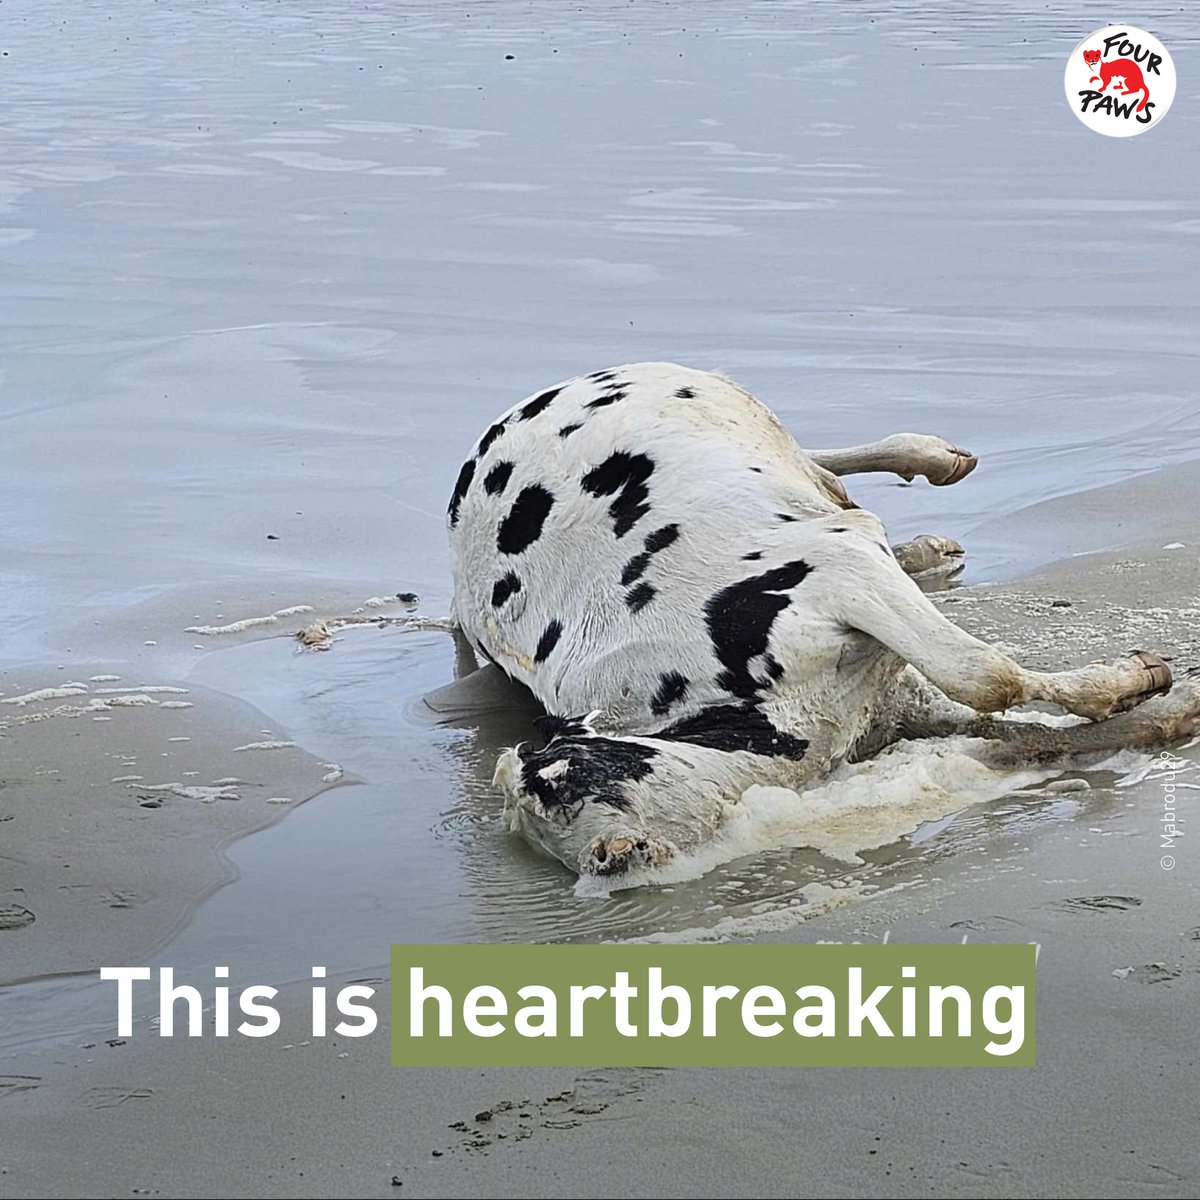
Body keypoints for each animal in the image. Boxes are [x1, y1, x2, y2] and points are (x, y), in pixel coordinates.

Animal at [445, 363, 1198, 877]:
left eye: (557, 788)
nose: (609, 857)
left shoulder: (842, 567)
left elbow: (984, 675)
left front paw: (1131, 679)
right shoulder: (893, 699)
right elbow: (1026, 729)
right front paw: (1158, 699)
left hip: (736, 418)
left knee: (826, 465)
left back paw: (931, 457)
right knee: (831, 481)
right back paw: (926, 543)